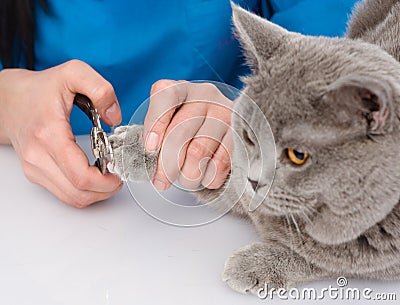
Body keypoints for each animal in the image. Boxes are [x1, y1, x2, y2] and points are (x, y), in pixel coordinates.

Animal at [106, 0, 400, 294]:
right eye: (249, 136)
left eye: (299, 155)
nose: (254, 180)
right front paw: (130, 147)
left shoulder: (381, 256)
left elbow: (326, 259)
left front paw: (256, 264)